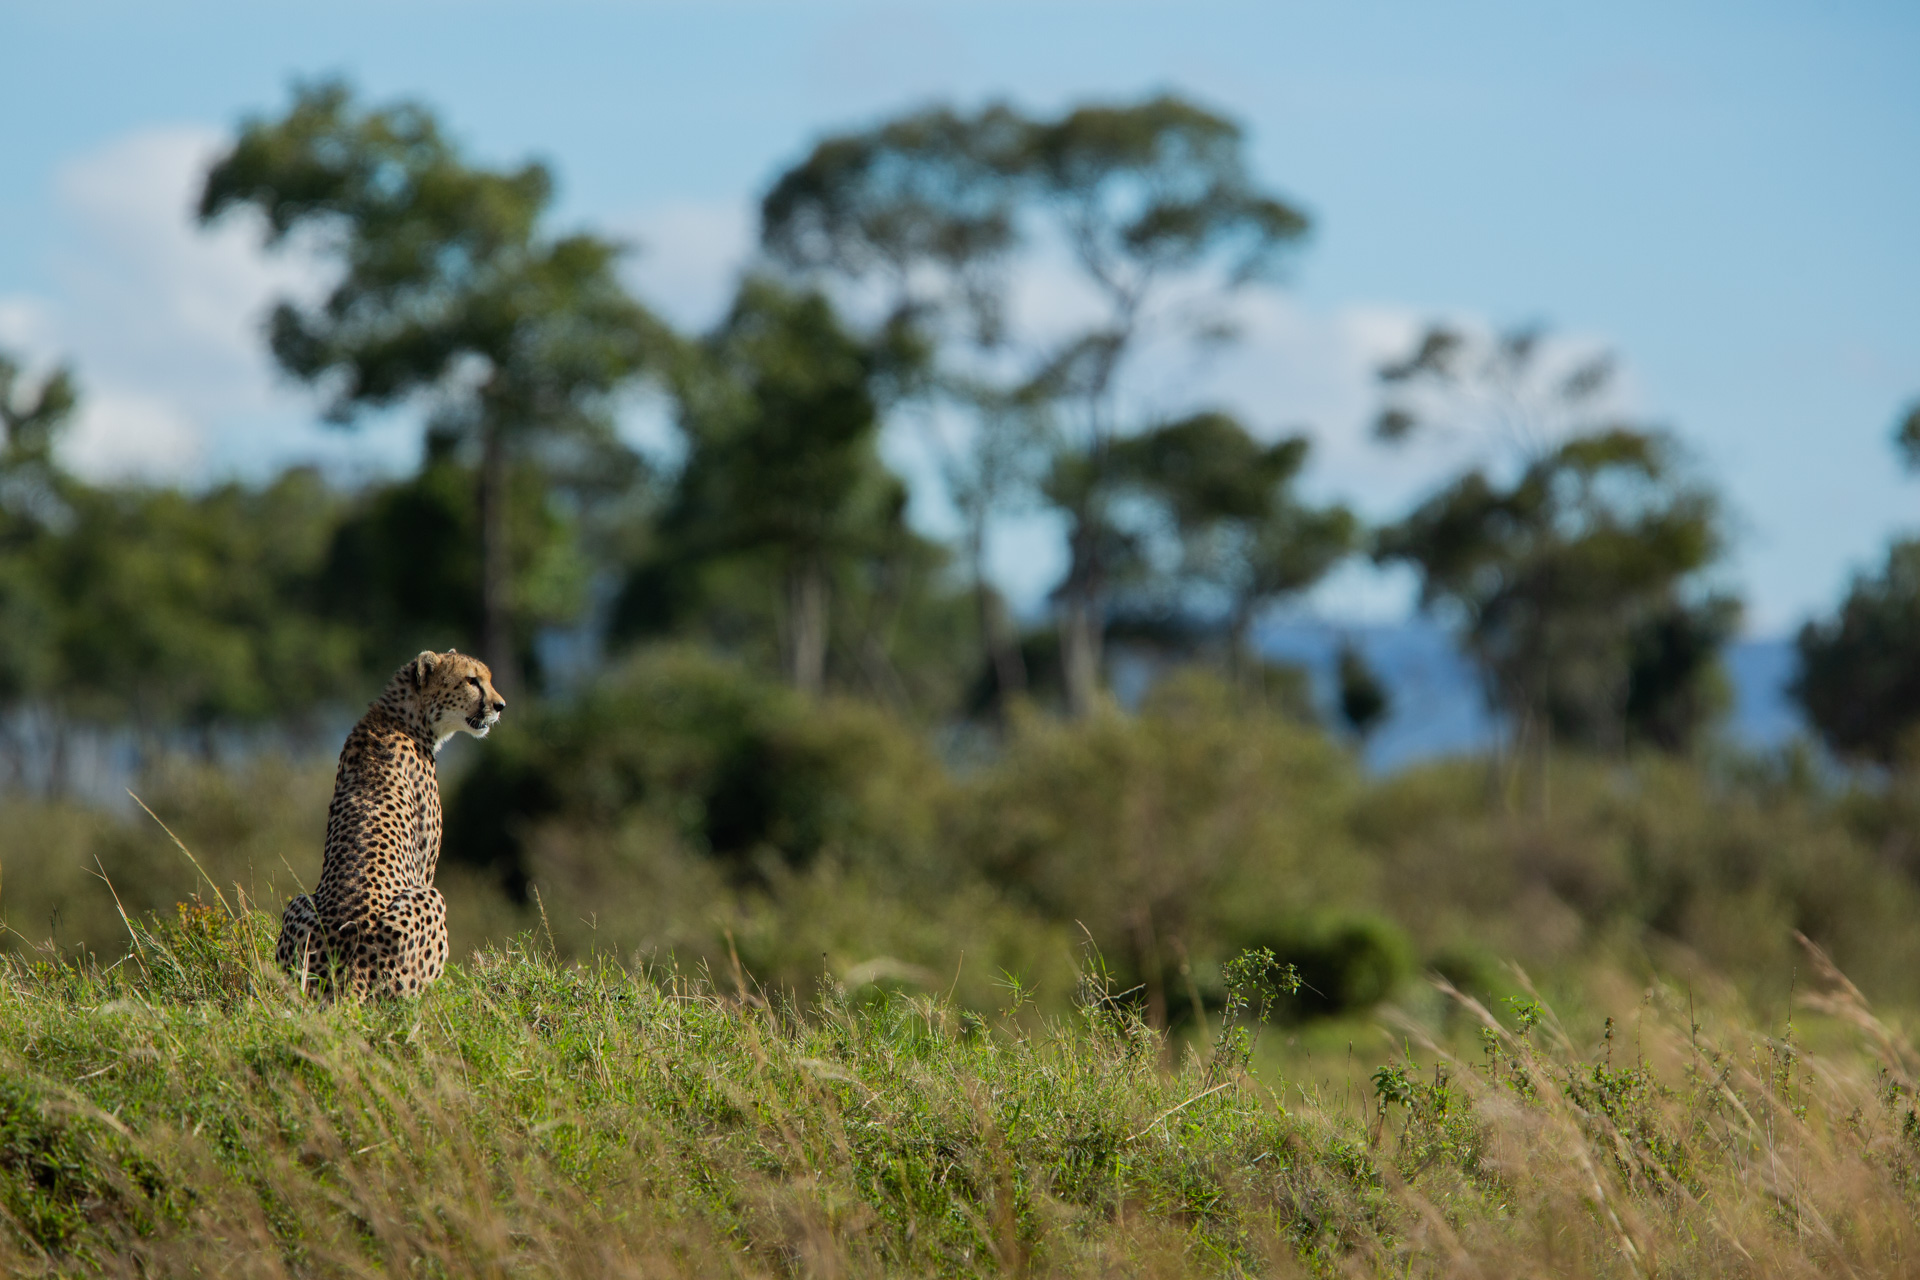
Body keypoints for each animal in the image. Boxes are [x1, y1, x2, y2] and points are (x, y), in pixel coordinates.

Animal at [278, 652, 506, 997]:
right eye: (471, 680)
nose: (500, 705)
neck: (400, 718)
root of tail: (349, 966)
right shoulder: (424, 869)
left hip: (300, 905)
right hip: (431, 902)